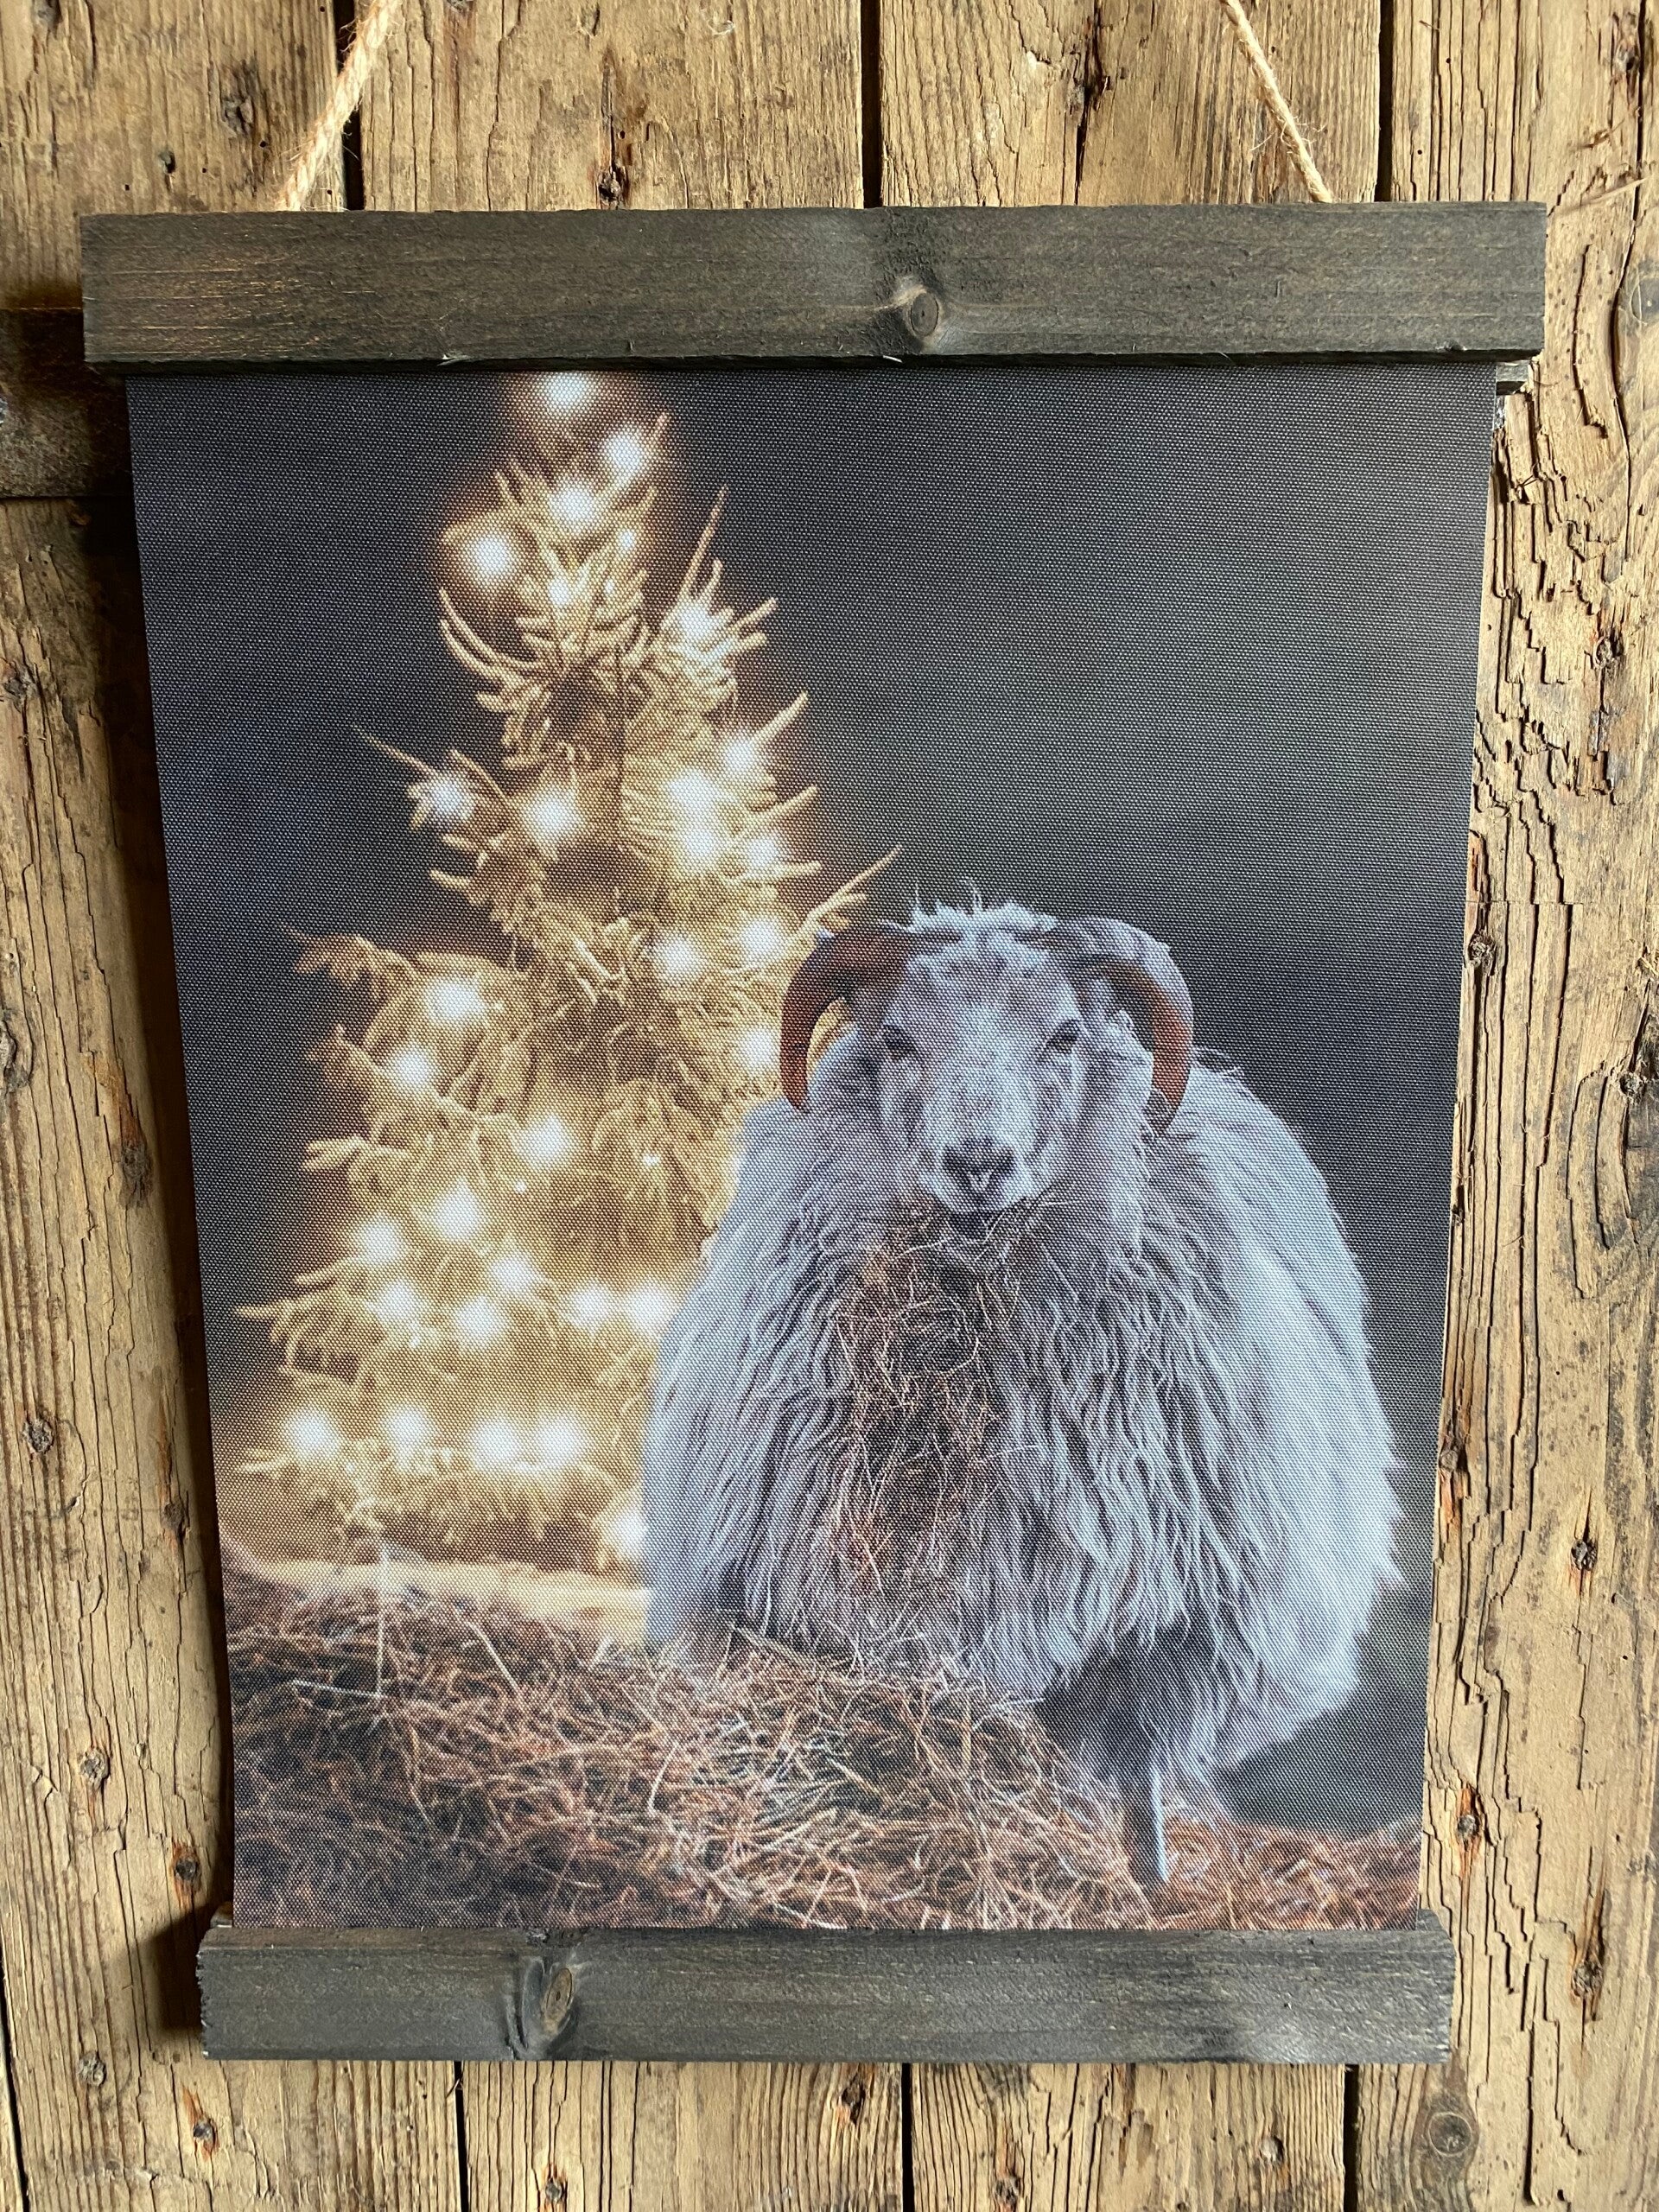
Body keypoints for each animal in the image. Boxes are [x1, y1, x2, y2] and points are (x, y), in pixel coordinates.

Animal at [642, 902, 1400, 1887]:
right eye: (896, 1038)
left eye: (1066, 1033)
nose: (979, 1162)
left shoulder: (1167, 1631)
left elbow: (1131, 1763)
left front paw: (1138, 1873)